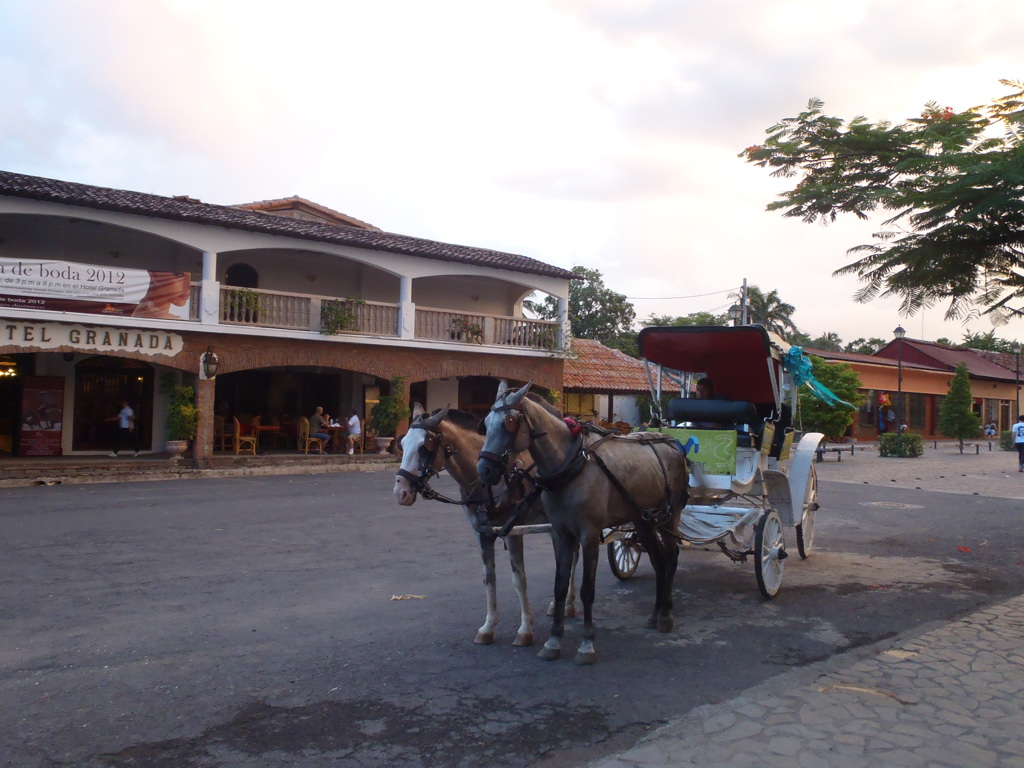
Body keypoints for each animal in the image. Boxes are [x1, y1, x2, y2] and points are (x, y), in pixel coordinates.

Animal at [393, 405, 577, 647]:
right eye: (403, 443)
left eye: (425, 446)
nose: (401, 492)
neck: (489, 483)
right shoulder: (482, 534)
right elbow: (488, 579)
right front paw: (488, 627)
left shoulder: (513, 533)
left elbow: (519, 579)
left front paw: (525, 629)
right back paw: (561, 604)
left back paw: (569, 604)